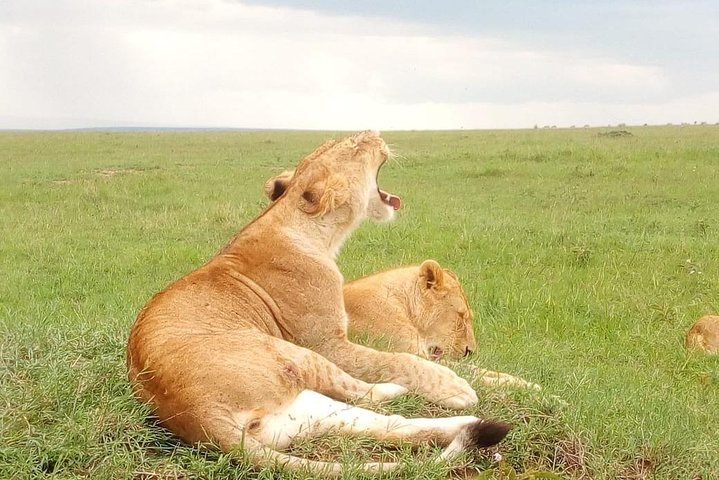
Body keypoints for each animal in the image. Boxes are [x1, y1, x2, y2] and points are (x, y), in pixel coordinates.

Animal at [129, 131, 512, 476]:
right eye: (356, 145)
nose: (375, 132)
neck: (314, 231)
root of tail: (198, 415)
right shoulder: (329, 342)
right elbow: (398, 360)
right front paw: (454, 385)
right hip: (296, 355)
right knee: (364, 392)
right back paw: (427, 396)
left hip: (307, 409)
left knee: (391, 423)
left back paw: (473, 425)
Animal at [268, 171, 544, 388]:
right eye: (461, 317)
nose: (469, 352)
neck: (404, 307)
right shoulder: (408, 351)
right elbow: (474, 375)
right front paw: (527, 388)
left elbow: (482, 371)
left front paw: (525, 383)